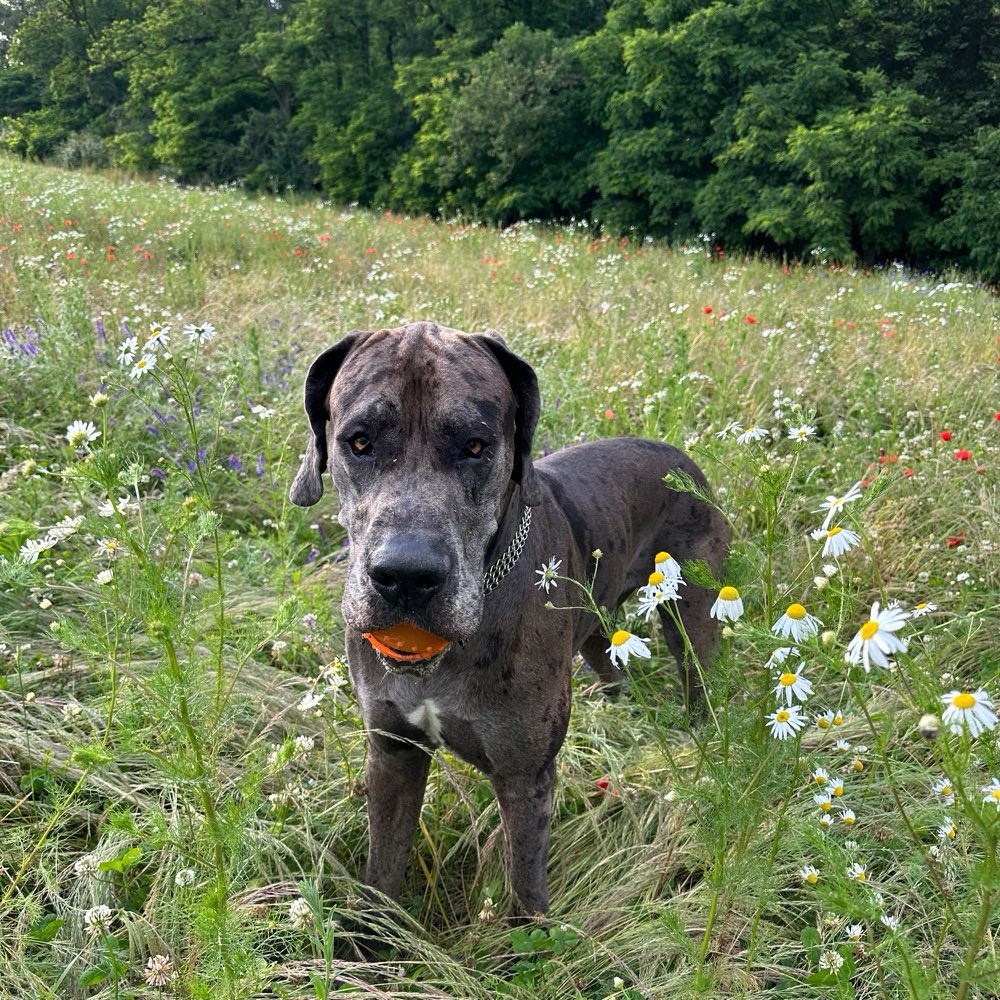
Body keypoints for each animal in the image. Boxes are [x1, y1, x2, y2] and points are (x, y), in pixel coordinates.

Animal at [288, 322, 728, 920]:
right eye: (359, 441)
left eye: (475, 446)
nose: (406, 575)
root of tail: (683, 457)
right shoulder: (393, 753)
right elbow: (382, 869)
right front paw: (376, 935)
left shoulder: (524, 778)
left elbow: (526, 892)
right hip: (594, 633)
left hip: (693, 614)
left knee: (695, 673)